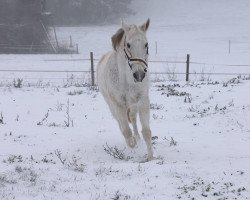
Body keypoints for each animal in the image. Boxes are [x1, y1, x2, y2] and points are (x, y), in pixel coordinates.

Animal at [96, 19, 153, 161]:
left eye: (146, 44)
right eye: (128, 44)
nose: (139, 75)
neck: (126, 79)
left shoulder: (143, 101)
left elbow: (146, 131)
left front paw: (150, 157)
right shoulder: (118, 104)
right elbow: (126, 131)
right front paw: (132, 146)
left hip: (132, 105)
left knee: (132, 118)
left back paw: (137, 138)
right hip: (111, 105)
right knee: (120, 123)